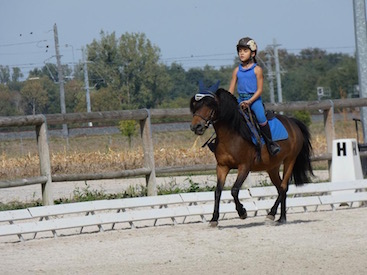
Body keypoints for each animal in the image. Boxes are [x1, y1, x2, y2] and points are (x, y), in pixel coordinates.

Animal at [190, 88, 314, 226]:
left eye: (210, 107)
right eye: (195, 107)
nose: (196, 127)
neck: (231, 134)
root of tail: (293, 122)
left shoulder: (244, 166)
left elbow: (234, 190)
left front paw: (242, 212)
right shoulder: (222, 166)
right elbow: (217, 192)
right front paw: (214, 219)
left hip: (290, 160)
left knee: (283, 187)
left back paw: (272, 215)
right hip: (272, 167)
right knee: (281, 189)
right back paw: (281, 218)